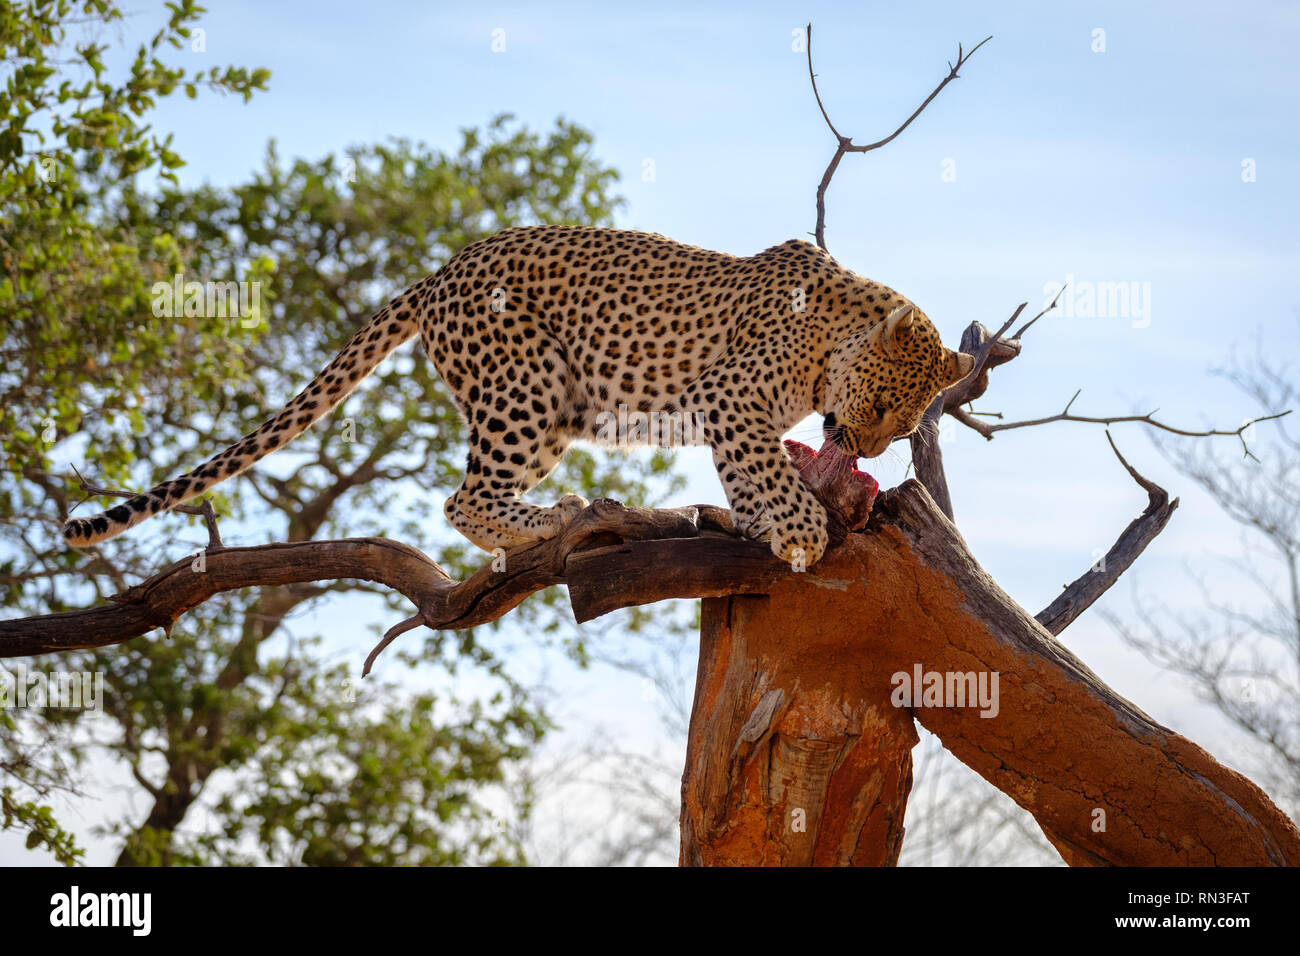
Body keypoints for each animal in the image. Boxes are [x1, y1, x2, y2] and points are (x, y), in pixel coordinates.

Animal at [63, 223, 977, 567]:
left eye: (904, 422)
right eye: (885, 407)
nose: (862, 447)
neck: (834, 337)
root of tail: (439, 271)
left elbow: (753, 473)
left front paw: (761, 523)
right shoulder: (730, 398)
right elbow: (766, 467)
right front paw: (796, 531)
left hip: (554, 406)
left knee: (472, 495)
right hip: (525, 383)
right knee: (462, 499)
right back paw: (555, 518)